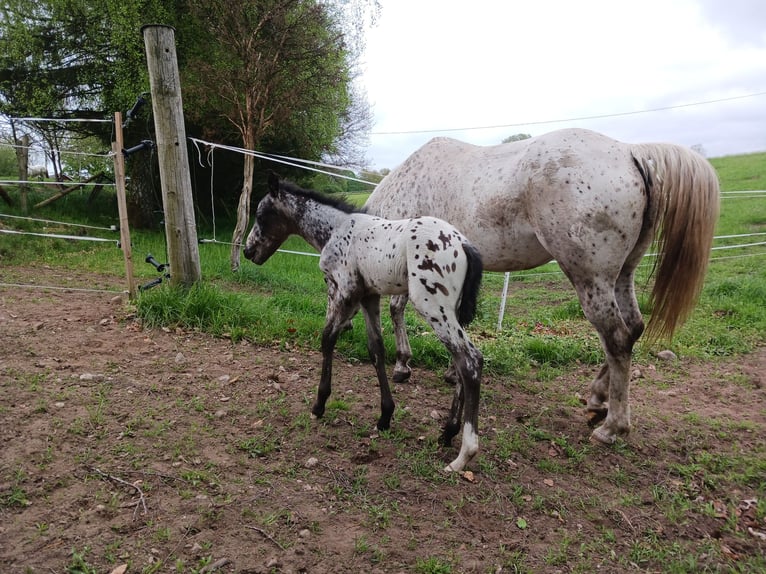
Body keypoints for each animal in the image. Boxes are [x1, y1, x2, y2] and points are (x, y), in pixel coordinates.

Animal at [244, 173, 486, 474]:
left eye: (261, 214)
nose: (248, 251)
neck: (334, 230)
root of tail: (463, 243)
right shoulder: (369, 297)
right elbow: (376, 349)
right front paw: (385, 416)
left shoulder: (345, 292)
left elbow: (327, 338)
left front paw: (319, 404)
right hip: (451, 311)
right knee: (461, 362)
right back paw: (447, 431)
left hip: (432, 305)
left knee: (470, 360)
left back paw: (463, 455)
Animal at [364, 129, 724, 446]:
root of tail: (629, 151)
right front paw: (450, 372)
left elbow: (397, 308)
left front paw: (403, 365)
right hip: (622, 275)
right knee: (633, 328)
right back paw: (597, 398)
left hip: (591, 279)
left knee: (617, 338)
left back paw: (612, 428)